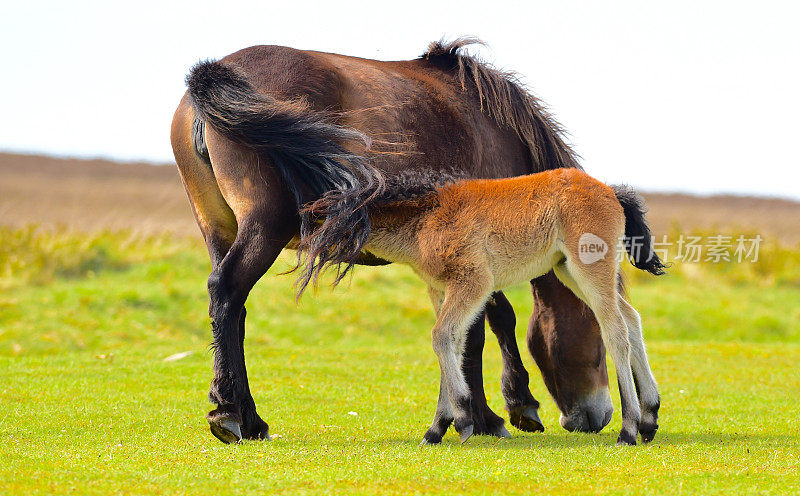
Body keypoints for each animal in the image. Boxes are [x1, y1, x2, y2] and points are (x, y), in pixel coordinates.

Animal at [172, 36, 612, 444]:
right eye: (601, 346)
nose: (599, 417)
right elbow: (488, 324)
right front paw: (502, 411)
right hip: (264, 228)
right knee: (227, 291)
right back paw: (231, 414)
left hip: (219, 229)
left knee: (232, 310)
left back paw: (242, 416)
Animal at [304, 168, 664, 446]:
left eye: (321, 218)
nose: (309, 248)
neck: (426, 217)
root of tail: (611, 191)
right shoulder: (441, 288)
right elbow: (452, 344)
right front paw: (437, 428)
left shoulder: (473, 283)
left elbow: (441, 337)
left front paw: (463, 420)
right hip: (568, 271)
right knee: (631, 319)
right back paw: (649, 418)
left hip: (589, 267)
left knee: (615, 331)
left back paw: (629, 429)